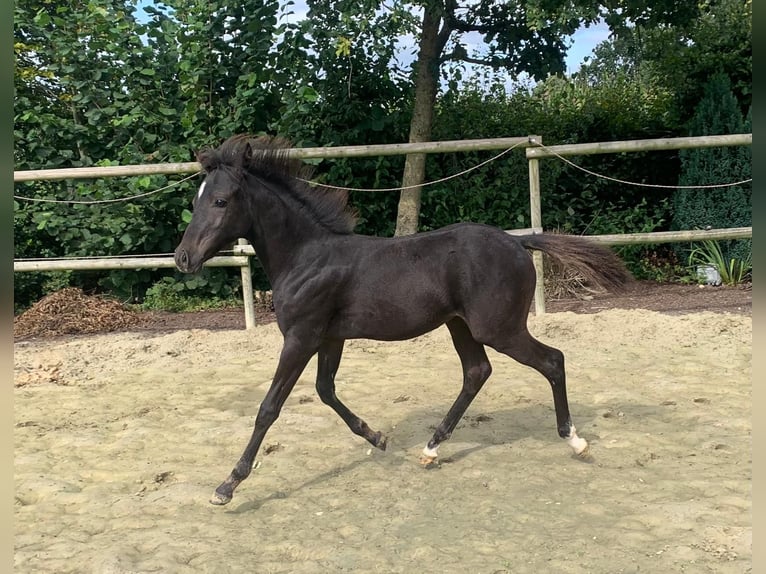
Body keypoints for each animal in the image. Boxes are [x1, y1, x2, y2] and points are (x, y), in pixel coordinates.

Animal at [177, 133, 632, 506]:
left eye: (220, 201)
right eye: (196, 201)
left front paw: (227, 485)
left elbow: (269, 407)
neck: (306, 257)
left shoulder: (301, 337)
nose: (183, 258)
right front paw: (378, 437)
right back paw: (431, 449)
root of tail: (520, 243)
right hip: (461, 325)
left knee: (552, 360)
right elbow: (325, 390)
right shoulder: (330, 338)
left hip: (498, 328)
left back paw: (575, 441)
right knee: (477, 372)